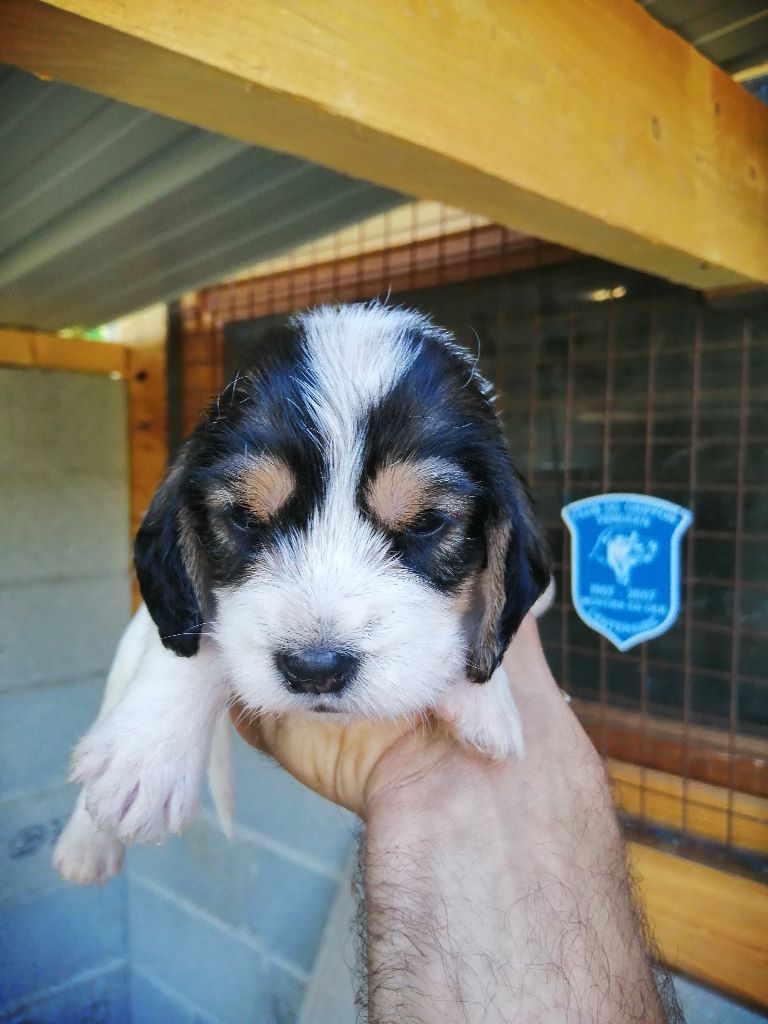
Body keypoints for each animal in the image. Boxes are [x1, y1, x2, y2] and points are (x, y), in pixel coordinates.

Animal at [51, 301, 548, 880]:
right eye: (244, 517)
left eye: (427, 523)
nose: (316, 669)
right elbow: (196, 640)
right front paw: (147, 756)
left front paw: (486, 700)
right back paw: (85, 843)